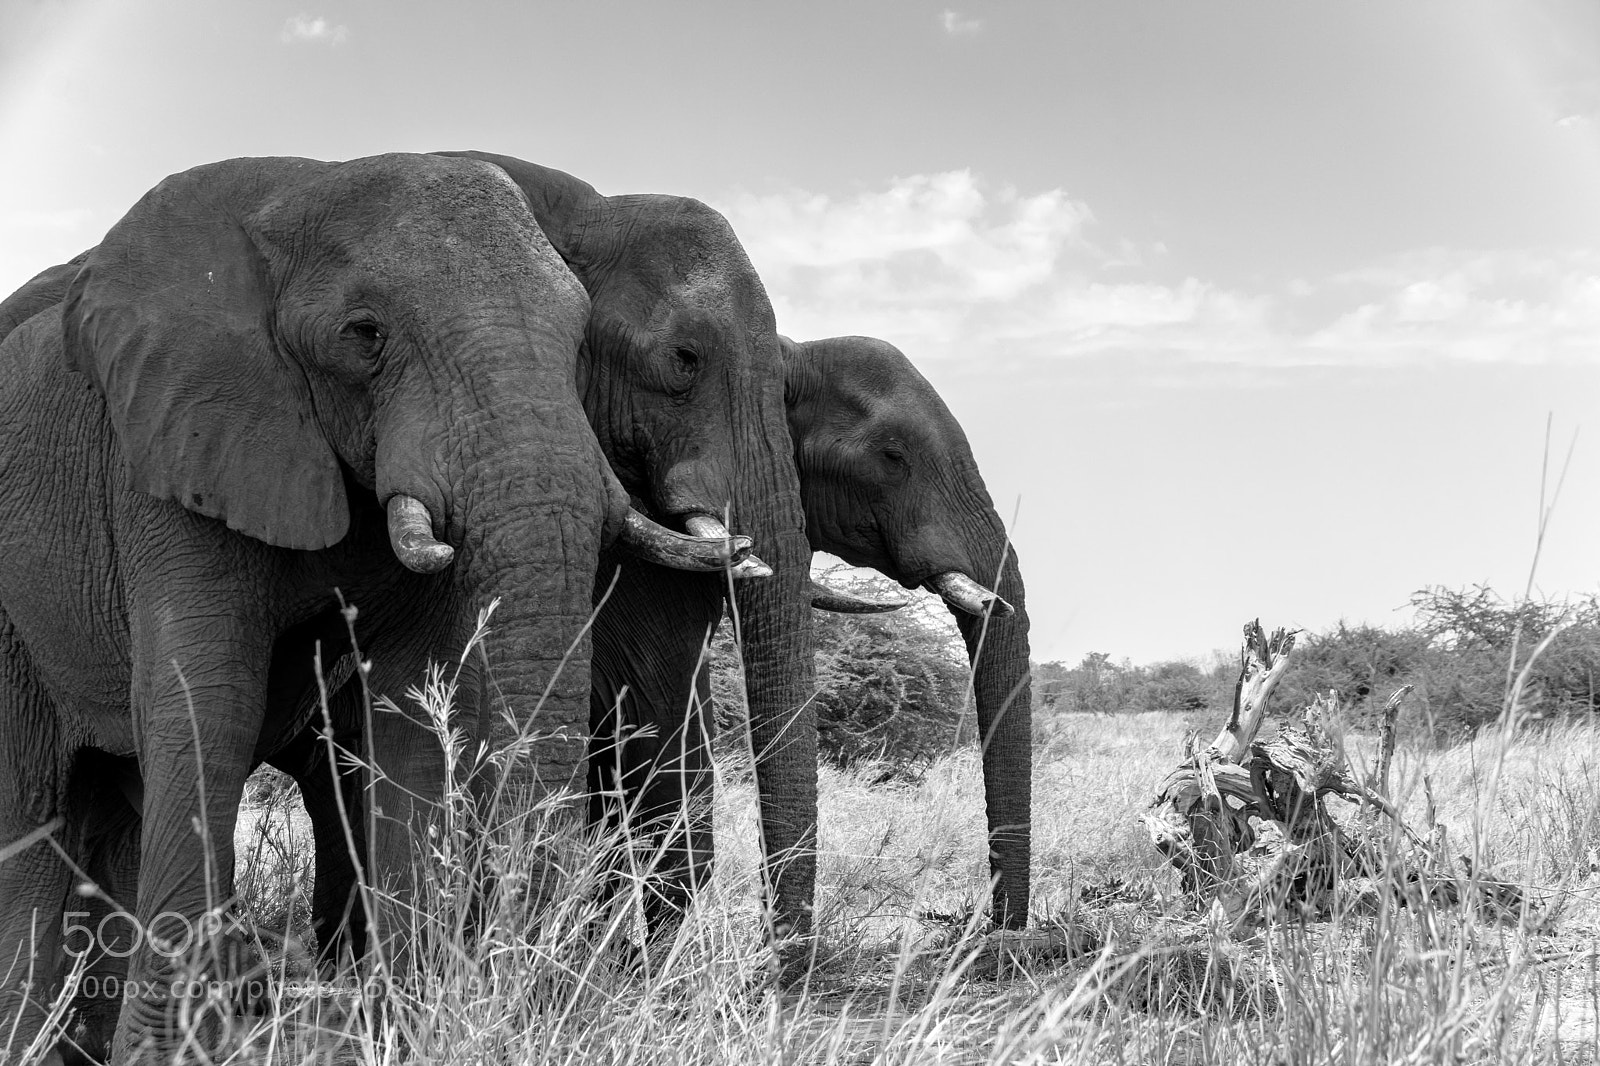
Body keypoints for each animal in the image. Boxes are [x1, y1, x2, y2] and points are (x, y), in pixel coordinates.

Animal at [0, 152, 741, 1065]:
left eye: (578, 341)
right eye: (364, 335)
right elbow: (207, 705)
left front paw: (401, 1029)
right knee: (30, 815)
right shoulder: (170, 451)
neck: (295, 194)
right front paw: (168, 1056)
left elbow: (407, 713)